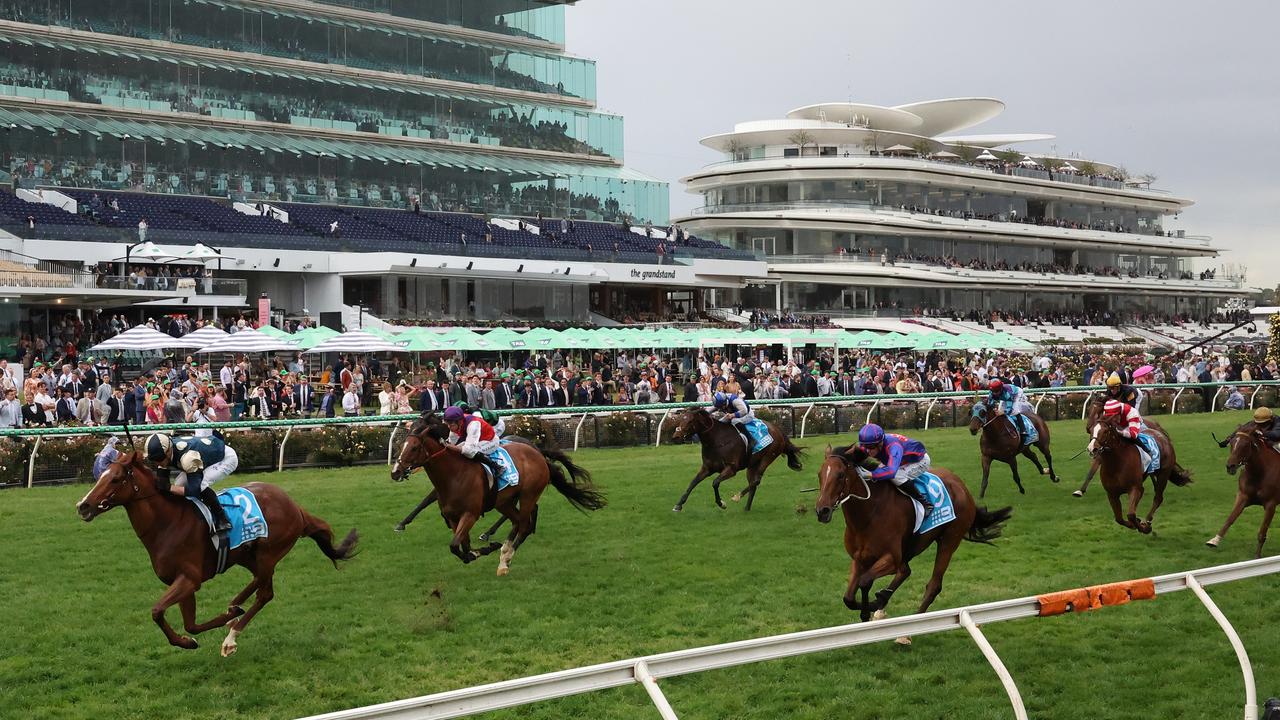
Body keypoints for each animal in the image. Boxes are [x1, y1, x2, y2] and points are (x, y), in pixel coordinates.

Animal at [75, 450, 358, 653]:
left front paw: (193, 639)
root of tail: (295, 506)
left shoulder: (189, 579)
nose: (83, 506)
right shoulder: (183, 582)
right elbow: (191, 624)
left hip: (269, 552)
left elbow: (157, 611)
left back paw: (231, 637)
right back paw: (234, 608)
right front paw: (196, 635)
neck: (167, 524)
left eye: (115, 478)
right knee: (259, 581)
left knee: (265, 592)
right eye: (100, 475)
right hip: (247, 555)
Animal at [386, 415, 601, 571]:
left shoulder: (470, 514)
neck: (454, 475)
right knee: (519, 520)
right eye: (402, 445)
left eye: (414, 447)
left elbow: (455, 545)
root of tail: (538, 453)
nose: (395, 472)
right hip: (504, 501)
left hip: (528, 494)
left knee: (524, 522)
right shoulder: (454, 517)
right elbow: (462, 547)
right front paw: (478, 552)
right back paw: (502, 545)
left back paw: (506, 557)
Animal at [670, 409, 798, 509]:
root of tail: (778, 430)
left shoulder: (731, 469)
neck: (717, 440)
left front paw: (721, 503)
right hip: (752, 465)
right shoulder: (707, 468)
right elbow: (693, 482)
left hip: (768, 457)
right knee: (753, 483)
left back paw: (737, 496)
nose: (676, 436)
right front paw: (679, 505)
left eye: (690, 421)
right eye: (680, 419)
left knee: (756, 481)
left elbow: (715, 482)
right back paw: (746, 508)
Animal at [814, 445, 1013, 625]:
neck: (869, 515)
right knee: (906, 571)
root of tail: (963, 487)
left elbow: (865, 581)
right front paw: (871, 607)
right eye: (819, 474)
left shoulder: (891, 558)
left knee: (933, 584)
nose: (822, 511)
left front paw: (871, 606)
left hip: (949, 540)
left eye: (840, 475)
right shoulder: (859, 558)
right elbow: (848, 597)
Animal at [1203, 425, 1274, 556]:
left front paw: (1257, 556)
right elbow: (1230, 519)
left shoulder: (1271, 504)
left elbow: (1262, 532)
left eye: (1246, 444)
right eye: (1231, 443)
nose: (1230, 466)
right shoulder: (1243, 496)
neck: (1259, 472)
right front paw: (1214, 540)